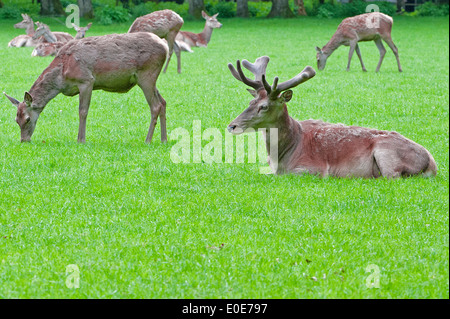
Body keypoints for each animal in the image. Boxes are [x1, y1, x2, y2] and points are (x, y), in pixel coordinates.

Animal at [3, 31, 169, 144]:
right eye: (16, 120)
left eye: (27, 119)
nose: (24, 140)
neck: (61, 77)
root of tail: (165, 46)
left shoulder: (86, 80)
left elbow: (82, 111)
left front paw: (80, 139)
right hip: (149, 79)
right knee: (163, 102)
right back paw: (164, 139)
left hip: (147, 74)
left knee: (155, 106)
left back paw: (148, 140)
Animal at [229, 56, 436, 179]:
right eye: (251, 102)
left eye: (264, 106)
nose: (232, 126)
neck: (281, 156)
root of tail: (432, 164)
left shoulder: (313, 169)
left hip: (387, 154)